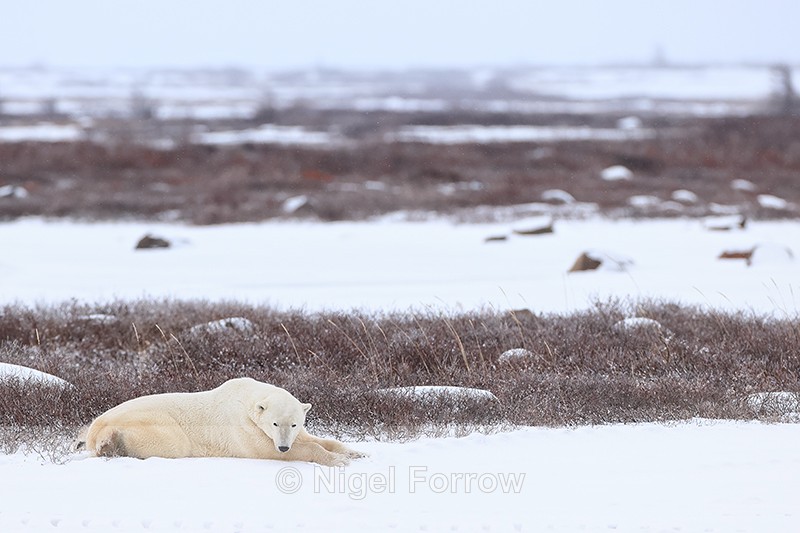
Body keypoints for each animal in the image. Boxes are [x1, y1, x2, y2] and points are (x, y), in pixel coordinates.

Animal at [79, 377, 365, 466]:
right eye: (274, 424)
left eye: (293, 424)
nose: (283, 446)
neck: (247, 399)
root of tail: (96, 428)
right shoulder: (244, 429)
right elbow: (272, 450)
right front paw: (338, 461)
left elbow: (314, 439)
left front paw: (356, 452)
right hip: (152, 423)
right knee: (173, 444)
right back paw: (110, 444)